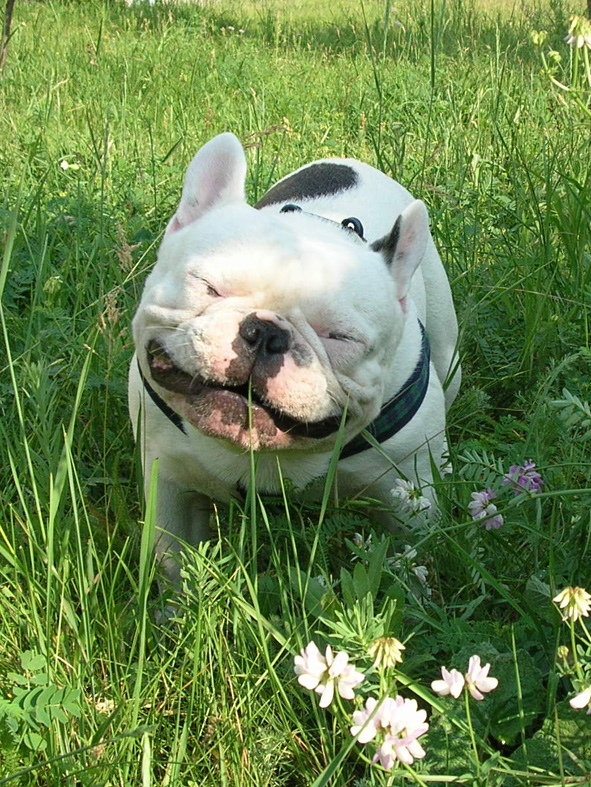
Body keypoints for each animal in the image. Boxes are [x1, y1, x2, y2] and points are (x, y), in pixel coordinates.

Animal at [128, 132, 461, 583]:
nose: (266, 332)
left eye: (340, 337)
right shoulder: (169, 483)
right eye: (209, 286)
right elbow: (173, 563)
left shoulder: (409, 492)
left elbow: (413, 562)